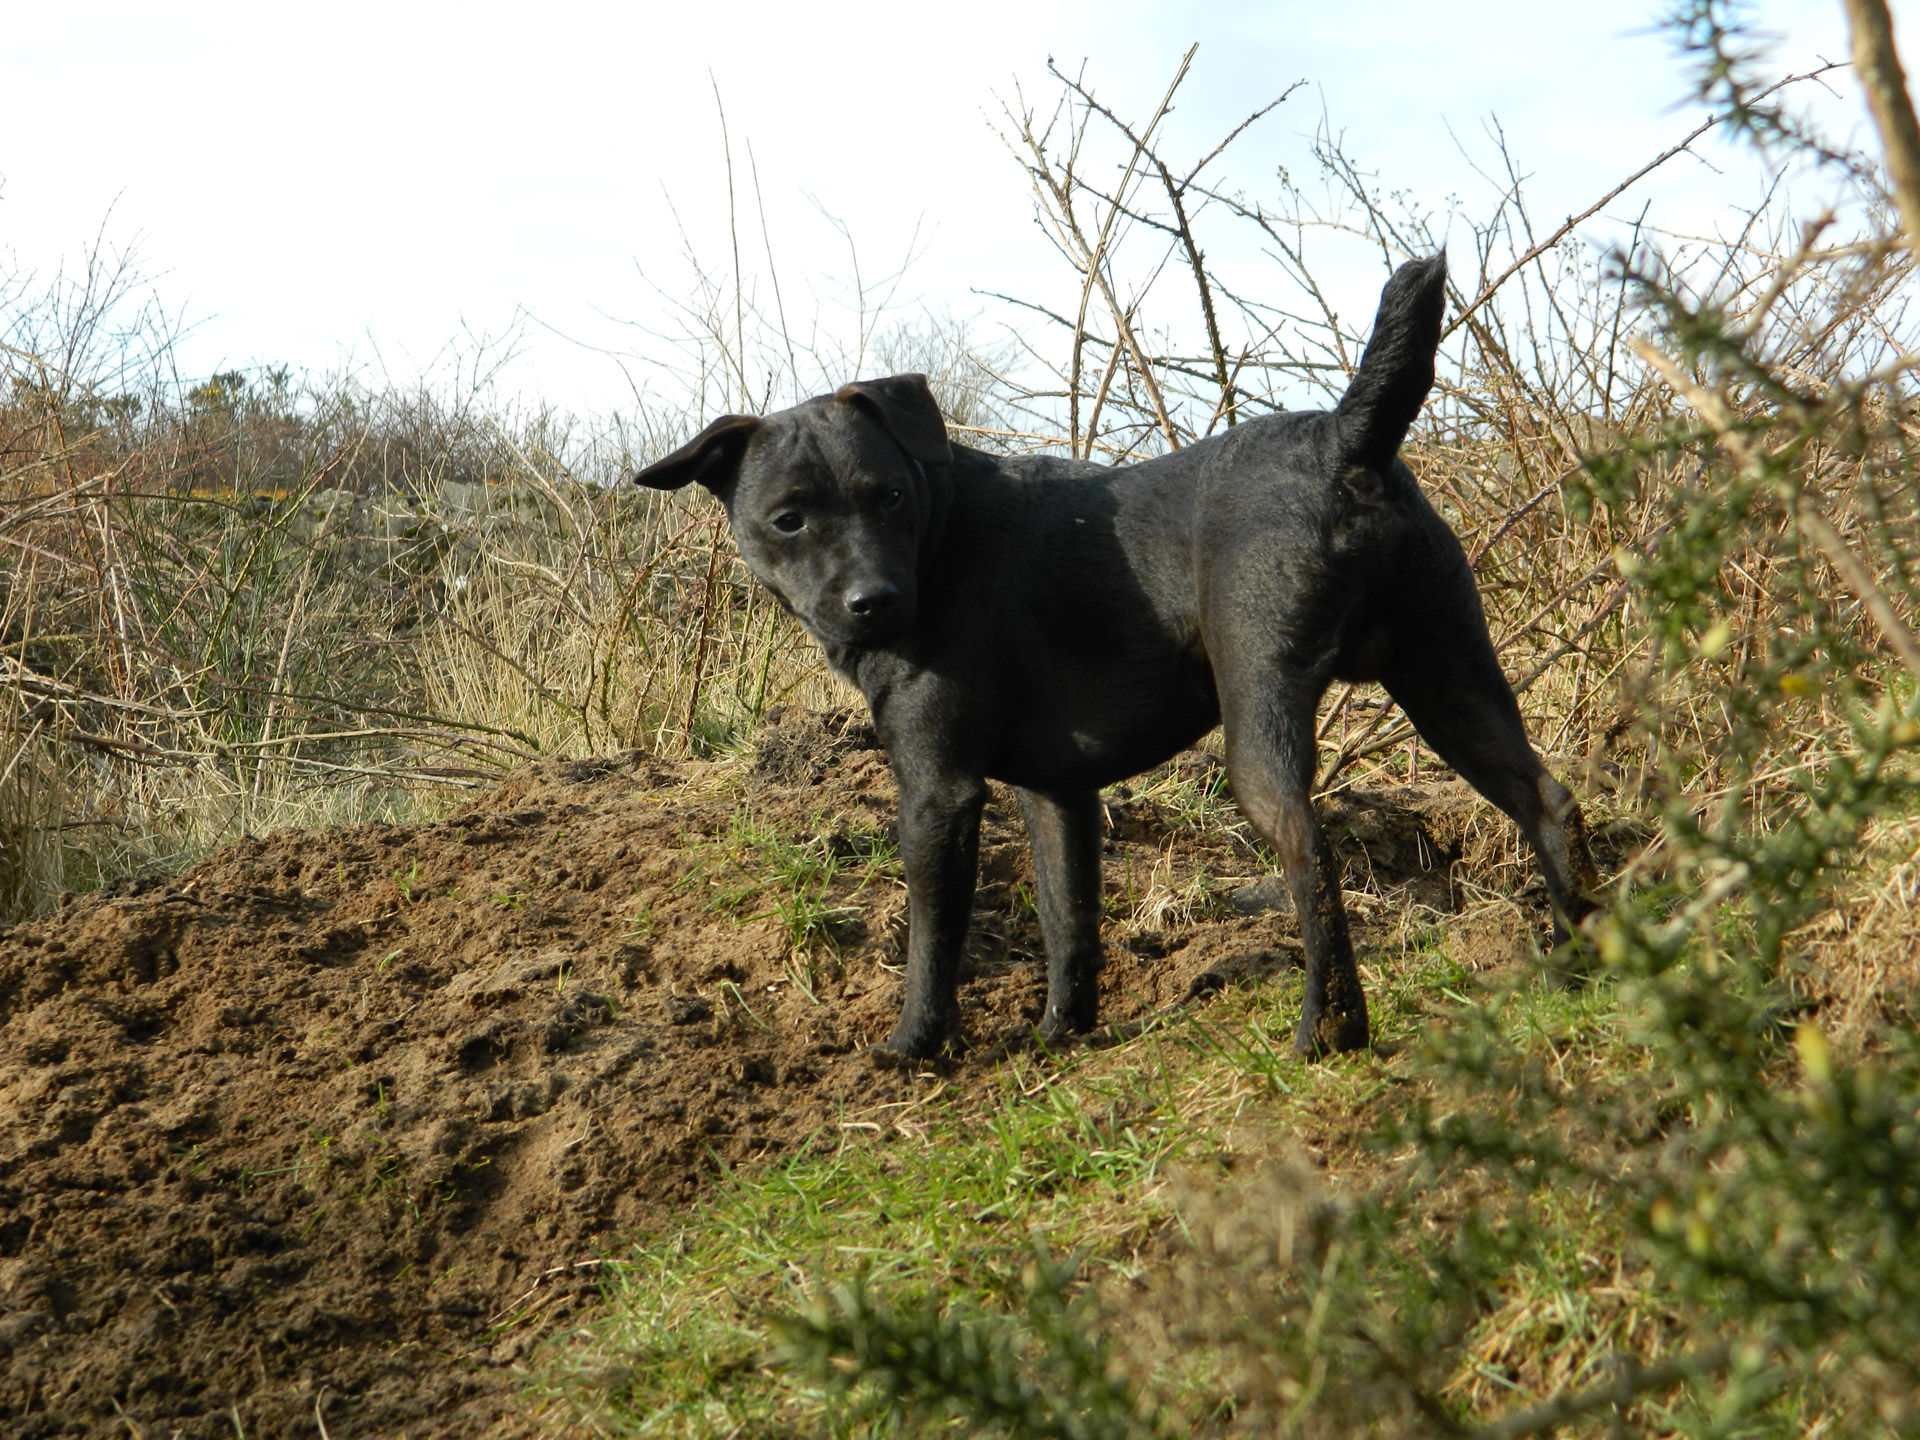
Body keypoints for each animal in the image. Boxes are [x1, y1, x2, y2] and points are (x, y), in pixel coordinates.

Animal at [637, 253, 1597, 1052]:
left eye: (891, 496)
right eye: (788, 519)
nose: (875, 601)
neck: (940, 541)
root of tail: (1346, 438)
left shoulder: (939, 791)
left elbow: (933, 938)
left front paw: (914, 1047)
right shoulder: (1057, 795)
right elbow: (1069, 923)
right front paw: (1061, 1034)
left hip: (1264, 712)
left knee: (1310, 854)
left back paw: (1328, 1033)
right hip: (1451, 681)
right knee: (1547, 800)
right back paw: (1580, 960)